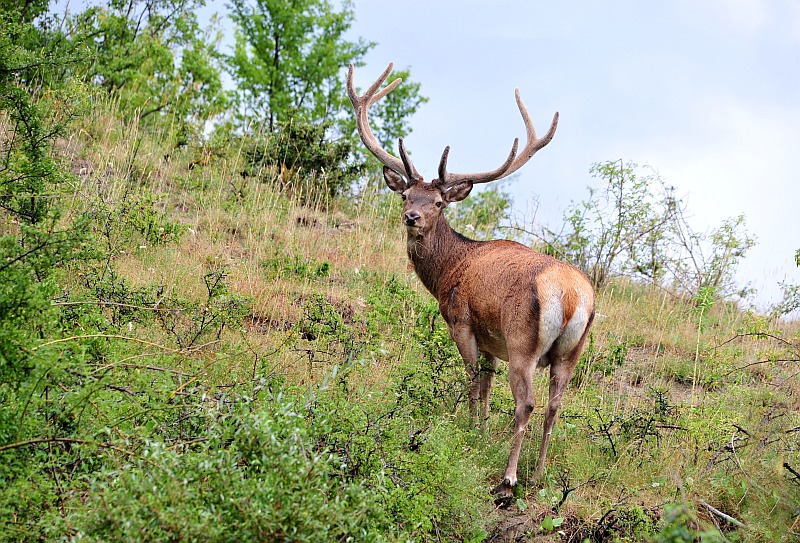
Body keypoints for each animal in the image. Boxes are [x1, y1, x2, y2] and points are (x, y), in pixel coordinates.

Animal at [346, 62, 596, 498]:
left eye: (438, 202)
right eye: (405, 195)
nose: (412, 218)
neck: (448, 269)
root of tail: (571, 297)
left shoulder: (462, 320)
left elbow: (473, 380)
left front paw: (469, 431)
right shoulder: (493, 341)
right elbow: (487, 384)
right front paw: (479, 431)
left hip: (523, 341)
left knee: (526, 403)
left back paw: (509, 478)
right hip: (570, 352)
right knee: (554, 406)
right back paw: (540, 475)